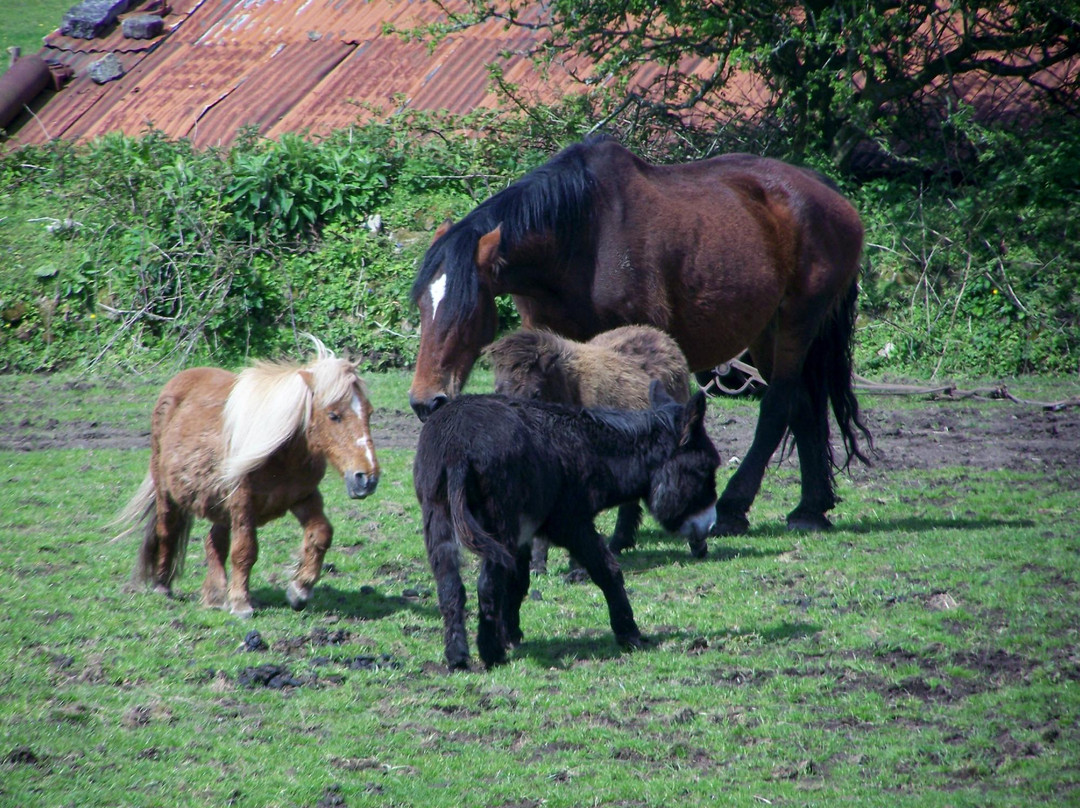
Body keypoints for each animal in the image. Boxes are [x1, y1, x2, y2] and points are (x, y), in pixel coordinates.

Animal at [115, 337, 380, 613]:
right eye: (334, 415)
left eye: (369, 412)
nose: (367, 479)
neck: (282, 453)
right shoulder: (243, 504)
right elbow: (245, 550)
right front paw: (241, 603)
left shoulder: (304, 497)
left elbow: (321, 534)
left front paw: (300, 590)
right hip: (167, 493)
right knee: (168, 530)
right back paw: (163, 585)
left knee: (214, 541)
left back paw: (216, 595)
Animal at [408, 135, 872, 546]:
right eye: (423, 306)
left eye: (467, 310)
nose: (426, 401)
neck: (580, 237)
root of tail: (828, 195)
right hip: (767, 330)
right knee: (804, 406)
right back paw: (810, 509)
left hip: (798, 320)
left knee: (778, 405)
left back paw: (733, 508)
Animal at [412, 384, 717, 669]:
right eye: (705, 469)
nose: (710, 527)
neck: (591, 451)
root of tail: (457, 447)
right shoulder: (571, 523)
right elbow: (607, 571)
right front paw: (630, 634)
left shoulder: (524, 532)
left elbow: (518, 581)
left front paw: (512, 634)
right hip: (497, 526)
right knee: (486, 585)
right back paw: (491, 654)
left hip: (438, 517)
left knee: (450, 587)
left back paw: (458, 657)